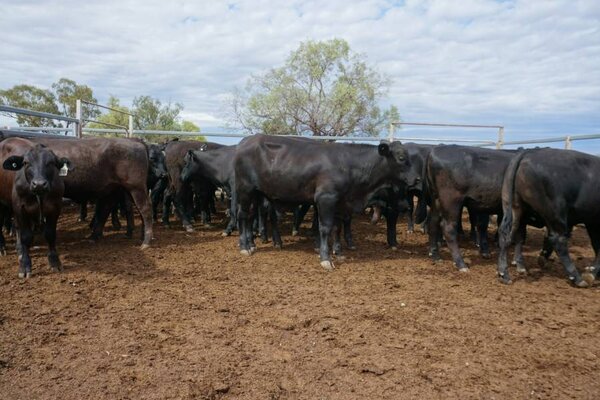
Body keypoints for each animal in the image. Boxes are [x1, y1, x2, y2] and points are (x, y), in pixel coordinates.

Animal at [0, 138, 71, 278]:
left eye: (51, 162)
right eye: (26, 162)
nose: (39, 184)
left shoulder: (55, 207)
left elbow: (50, 234)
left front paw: (55, 262)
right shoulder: (20, 208)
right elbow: (26, 236)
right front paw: (25, 265)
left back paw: (19, 249)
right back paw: (2, 247)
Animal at [232, 136, 414, 270]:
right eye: (401, 157)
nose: (416, 178)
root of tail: (245, 141)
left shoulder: (340, 202)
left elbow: (337, 228)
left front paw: (339, 253)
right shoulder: (326, 198)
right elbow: (325, 228)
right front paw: (326, 258)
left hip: (256, 193)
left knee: (251, 216)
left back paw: (253, 245)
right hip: (245, 189)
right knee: (242, 216)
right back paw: (244, 247)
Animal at [496, 148, 600, 286]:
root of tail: (529, 151)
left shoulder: (592, 222)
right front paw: (592, 273)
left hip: (515, 206)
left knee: (508, 235)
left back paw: (505, 273)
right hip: (556, 213)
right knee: (558, 241)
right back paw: (577, 278)